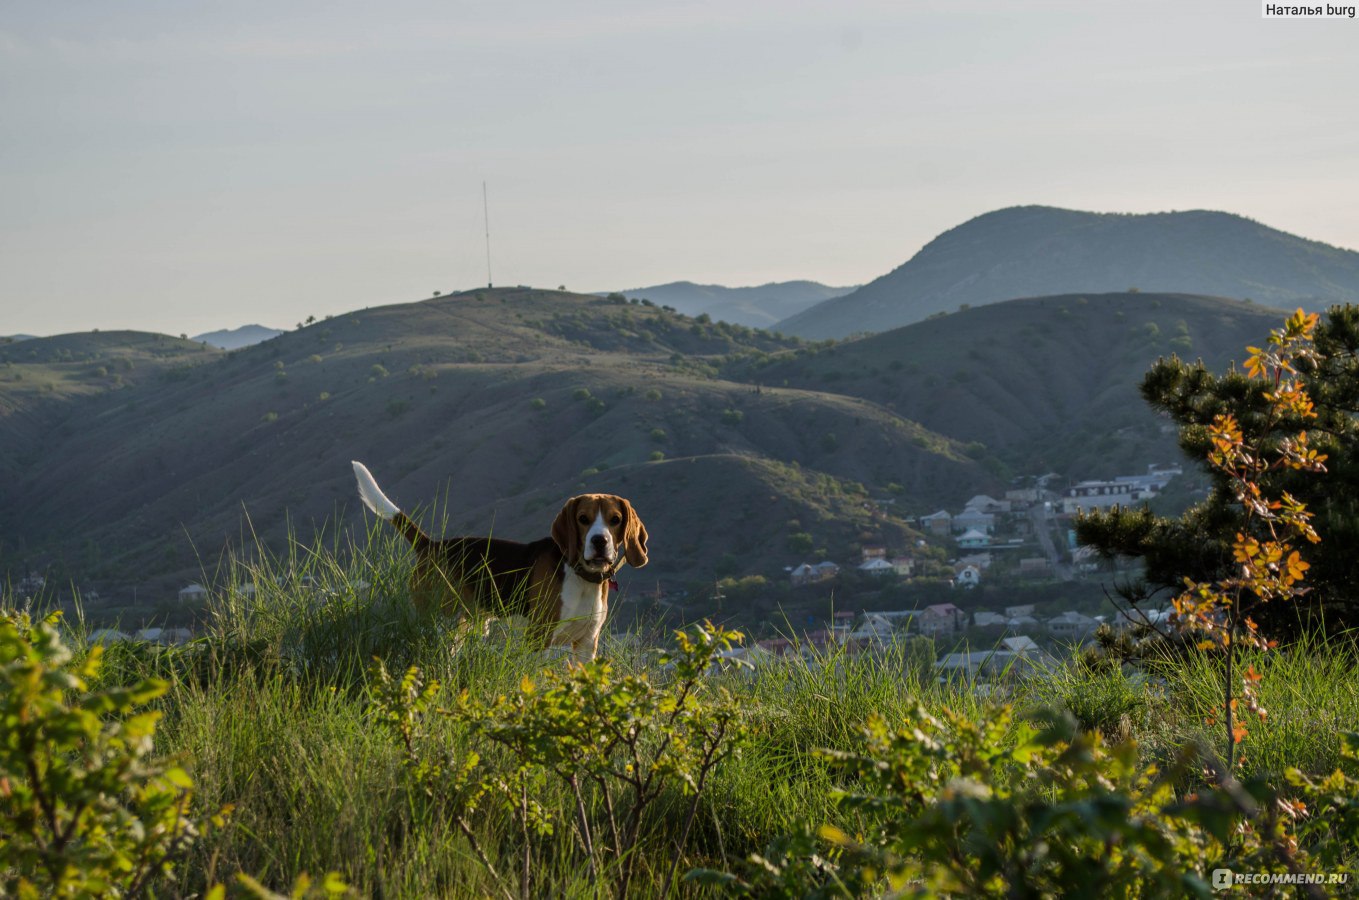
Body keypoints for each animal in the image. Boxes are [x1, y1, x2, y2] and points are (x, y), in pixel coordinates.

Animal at [350, 464, 646, 663]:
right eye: (583, 519)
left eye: (616, 519)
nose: (599, 541)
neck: (581, 578)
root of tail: (431, 545)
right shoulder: (539, 637)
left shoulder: (586, 643)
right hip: (437, 618)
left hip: (462, 625)